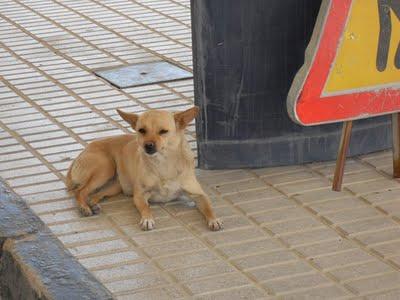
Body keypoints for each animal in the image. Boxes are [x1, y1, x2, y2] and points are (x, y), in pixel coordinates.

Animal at [65, 106, 222, 231]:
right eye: (141, 130)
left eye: (163, 131)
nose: (148, 145)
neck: (163, 164)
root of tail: (84, 150)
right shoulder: (140, 195)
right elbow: (146, 208)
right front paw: (147, 219)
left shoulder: (199, 194)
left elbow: (209, 207)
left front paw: (214, 219)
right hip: (105, 168)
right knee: (80, 191)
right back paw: (84, 207)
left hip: (115, 185)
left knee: (94, 194)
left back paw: (93, 204)